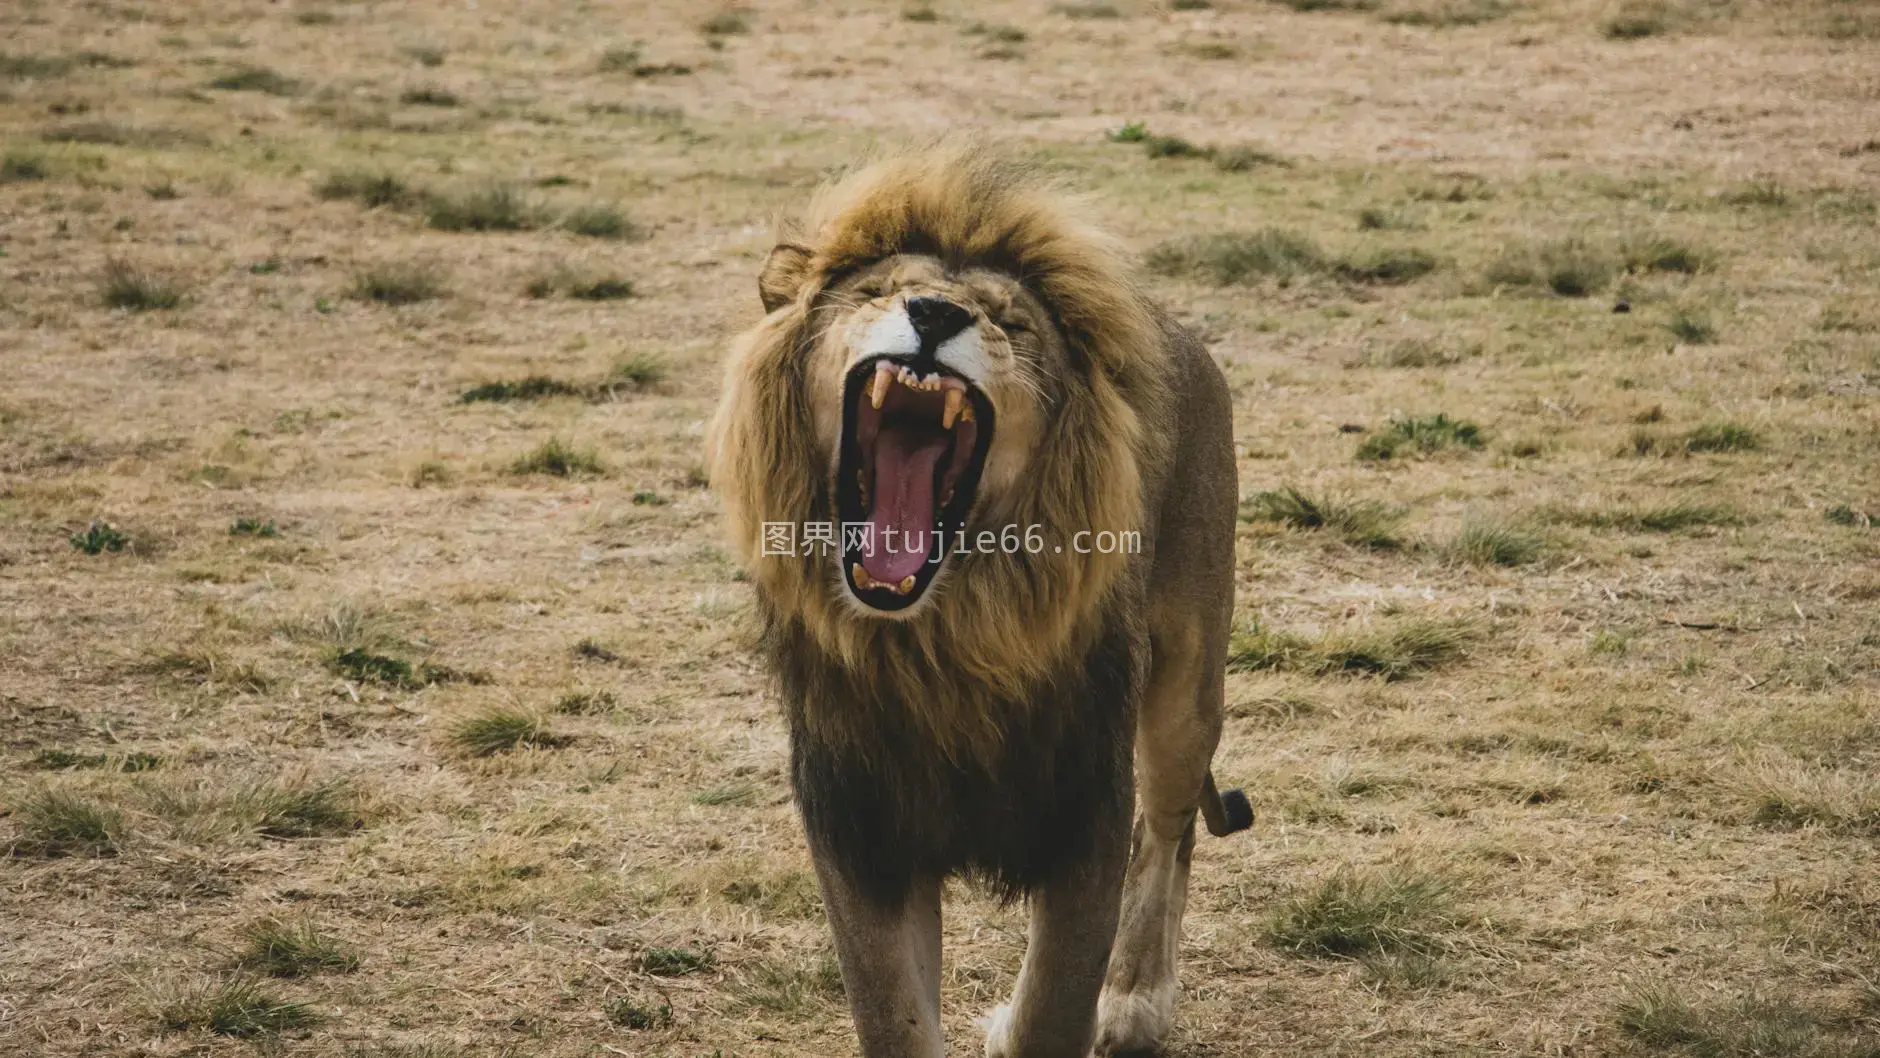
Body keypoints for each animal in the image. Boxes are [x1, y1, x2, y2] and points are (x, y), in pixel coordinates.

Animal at [706, 146, 1248, 1058]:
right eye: (876, 291)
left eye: (1011, 323)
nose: (932, 313)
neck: (942, 643)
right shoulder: (861, 829)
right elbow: (893, 1016)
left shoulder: (1083, 812)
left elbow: (1052, 1009)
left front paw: (1085, 1007)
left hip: (1185, 681)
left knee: (1167, 832)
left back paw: (1135, 998)